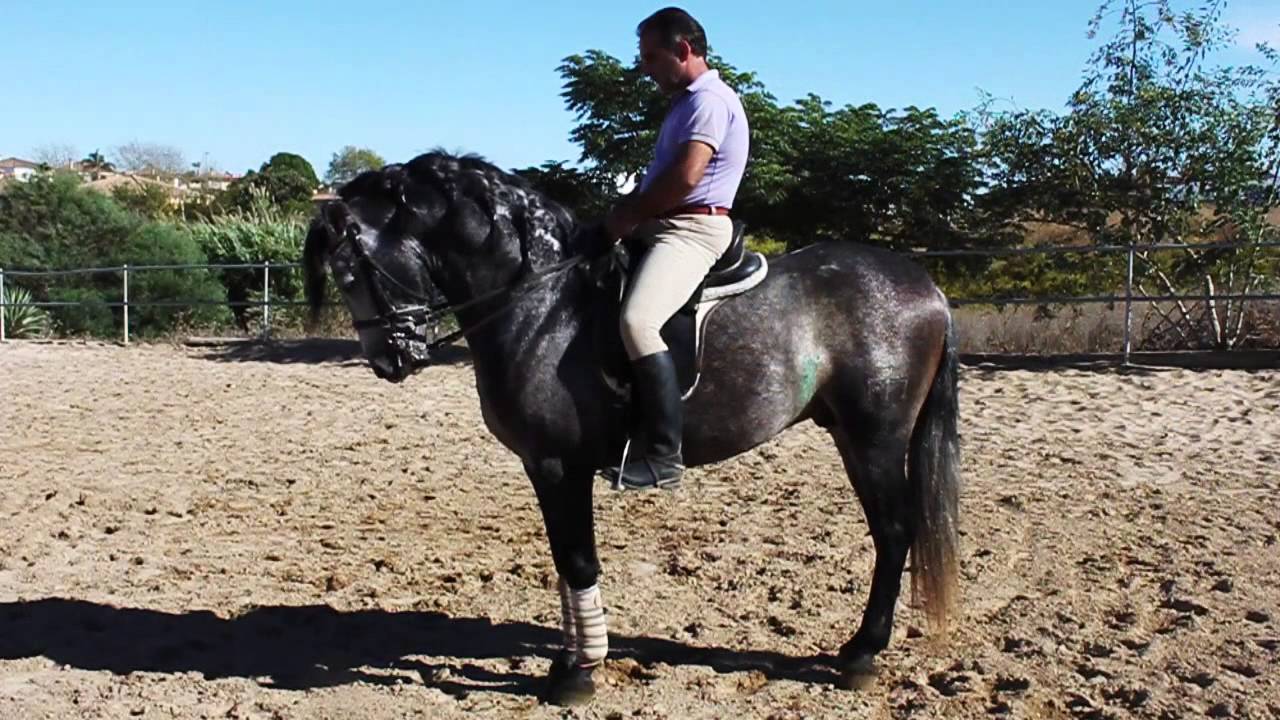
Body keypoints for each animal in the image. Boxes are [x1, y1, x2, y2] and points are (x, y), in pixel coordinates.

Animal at [302, 150, 961, 705]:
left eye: (351, 272)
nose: (389, 360)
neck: (543, 304)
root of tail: (927, 286)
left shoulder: (556, 465)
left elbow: (577, 560)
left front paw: (577, 674)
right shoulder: (545, 467)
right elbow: (565, 560)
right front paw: (571, 659)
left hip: (875, 439)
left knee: (894, 531)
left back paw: (861, 655)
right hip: (851, 434)